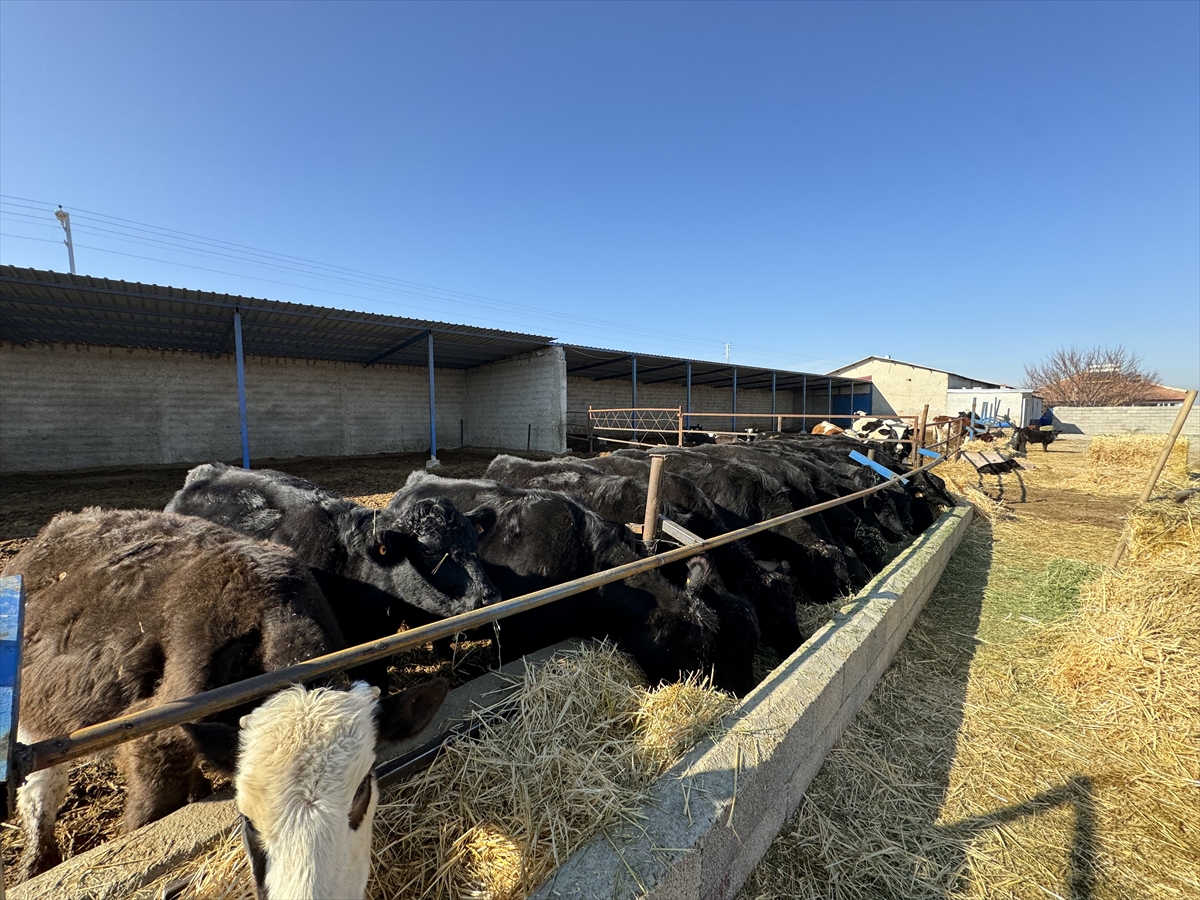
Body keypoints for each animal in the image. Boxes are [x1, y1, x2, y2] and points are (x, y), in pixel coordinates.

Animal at [2, 507, 447, 885]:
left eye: (361, 791)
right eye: (247, 814)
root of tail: (59, 526)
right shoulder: (151, 740)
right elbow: (148, 813)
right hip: (35, 718)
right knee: (39, 789)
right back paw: (36, 863)